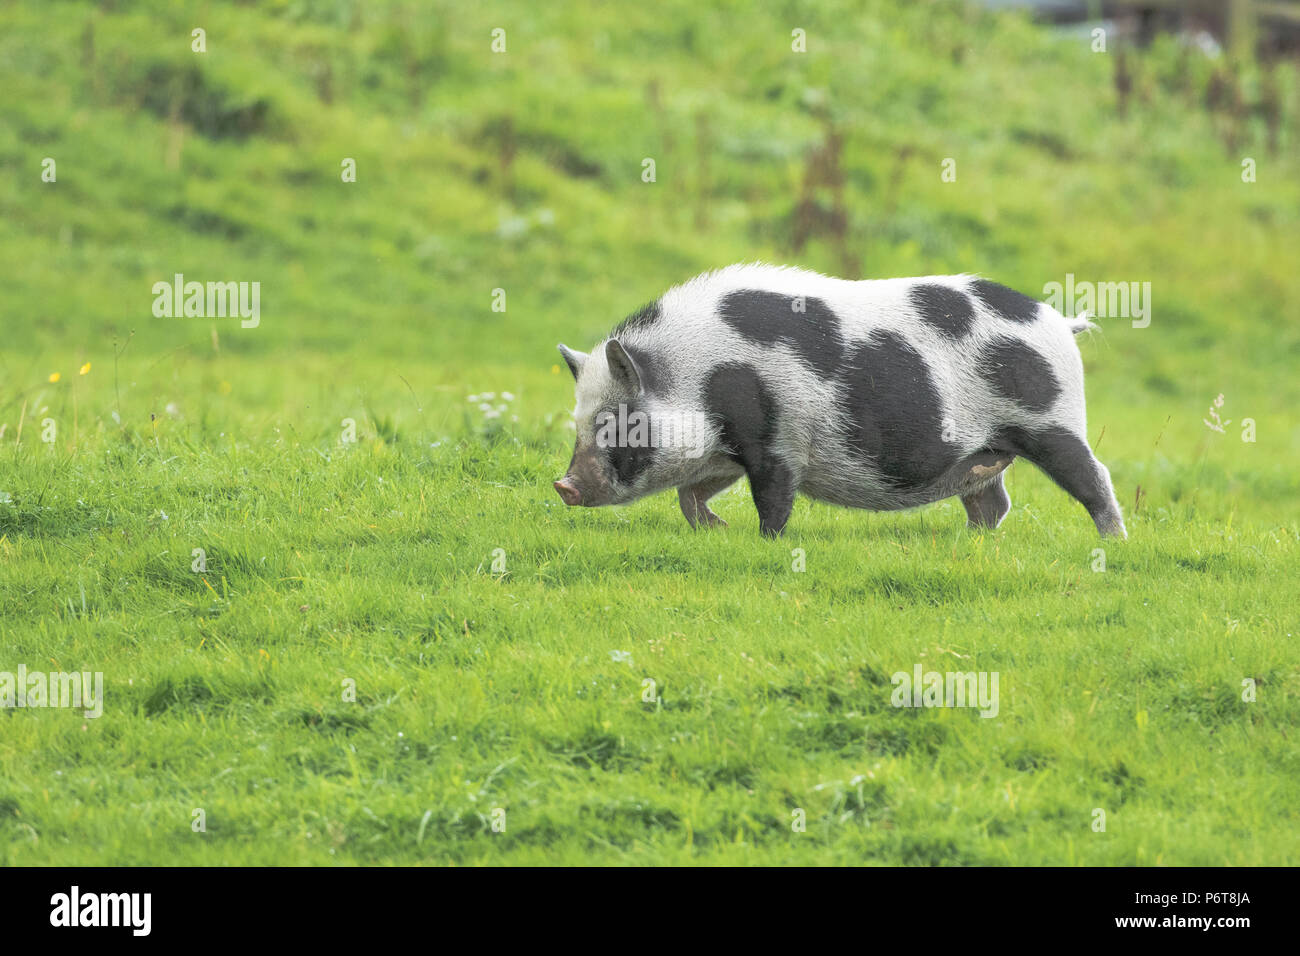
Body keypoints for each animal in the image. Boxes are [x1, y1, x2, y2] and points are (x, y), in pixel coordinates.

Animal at [553, 264, 1123, 538]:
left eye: (618, 423)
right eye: (578, 423)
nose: (563, 485)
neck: (701, 376)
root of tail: (1058, 321)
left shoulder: (777, 442)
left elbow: (773, 499)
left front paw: (763, 541)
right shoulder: (723, 453)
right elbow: (689, 494)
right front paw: (718, 530)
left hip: (1053, 422)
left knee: (1095, 477)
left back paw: (1113, 541)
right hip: (985, 452)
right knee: (993, 500)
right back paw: (968, 541)